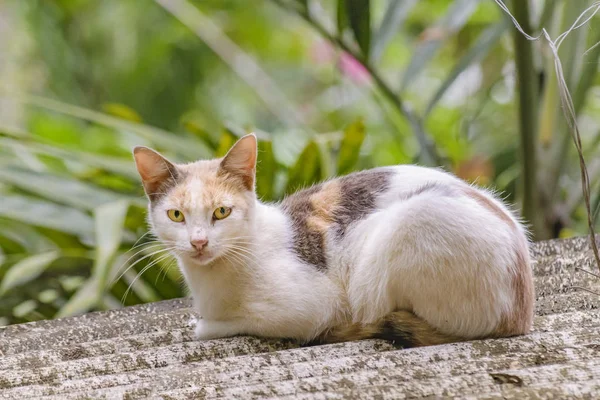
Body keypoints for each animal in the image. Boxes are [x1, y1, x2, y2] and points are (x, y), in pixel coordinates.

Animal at [135, 134, 536, 346]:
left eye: (221, 212)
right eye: (176, 215)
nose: (199, 242)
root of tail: (521, 313)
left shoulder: (310, 309)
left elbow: (223, 325)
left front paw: (202, 326)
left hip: (409, 226)